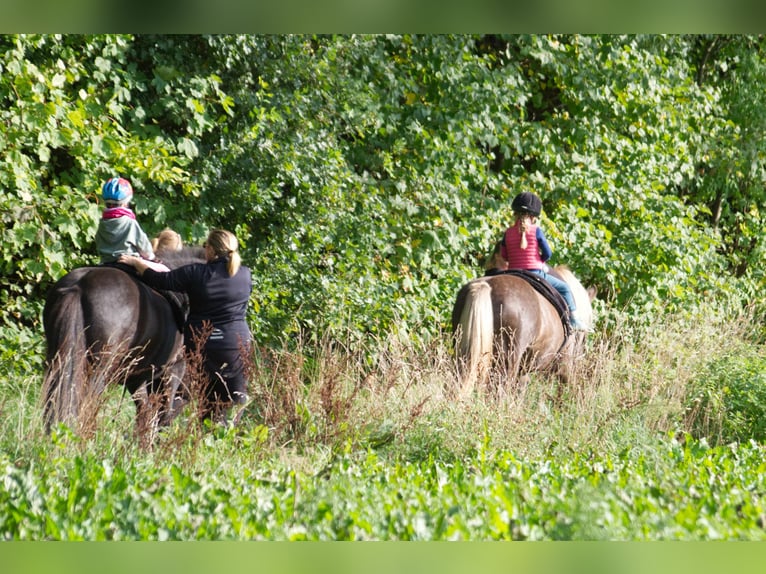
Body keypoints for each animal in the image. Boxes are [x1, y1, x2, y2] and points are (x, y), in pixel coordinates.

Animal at [42, 245, 204, 438]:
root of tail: (79, 287)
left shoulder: (136, 378)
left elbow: (145, 413)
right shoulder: (173, 370)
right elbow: (161, 414)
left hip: (59, 360)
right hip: (98, 370)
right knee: (88, 404)